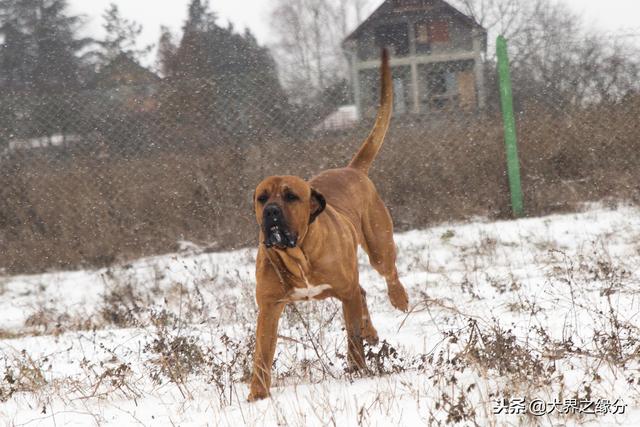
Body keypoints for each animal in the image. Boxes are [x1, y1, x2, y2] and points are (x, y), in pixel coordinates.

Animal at [248, 49, 408, 402]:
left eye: (291, 196)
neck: (299, 254)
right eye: (262, 198)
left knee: (387, 274)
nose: (272, 212)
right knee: (363, 294)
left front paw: (358, 370)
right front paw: (256, 395)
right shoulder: (269, 308)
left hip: (379, 246)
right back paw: (372, 331)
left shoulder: (344, 291)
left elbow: (352, 338)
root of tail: (353, 170)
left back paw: (399, 300)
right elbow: (261, 355)